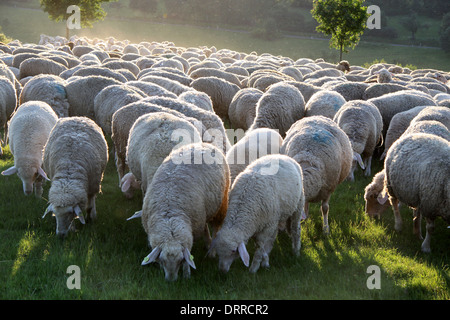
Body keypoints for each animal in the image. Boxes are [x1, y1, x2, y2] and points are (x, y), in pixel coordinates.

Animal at [141, 142, 230, 280]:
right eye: (162, 260)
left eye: (181, 260)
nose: (171, 281)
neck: (170, 215)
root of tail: (204, 143)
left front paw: (187, 274)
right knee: (205, 225)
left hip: (221, 204)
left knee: (216, 228)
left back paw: (212, 251)